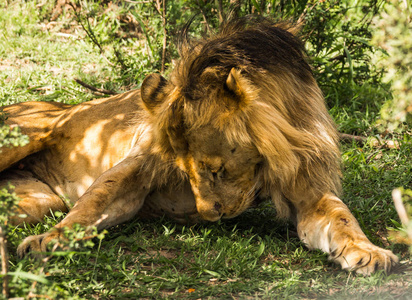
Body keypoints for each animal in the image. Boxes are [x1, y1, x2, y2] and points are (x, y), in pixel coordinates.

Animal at [0, 16, 400, 274]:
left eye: (215, 169)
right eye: (185, 170)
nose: (209, 217)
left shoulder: (308, 186)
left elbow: (342, 217)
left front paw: (367, 251)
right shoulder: (140, 164)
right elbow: (93, 203)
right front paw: (49, 240)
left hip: (37, 201)